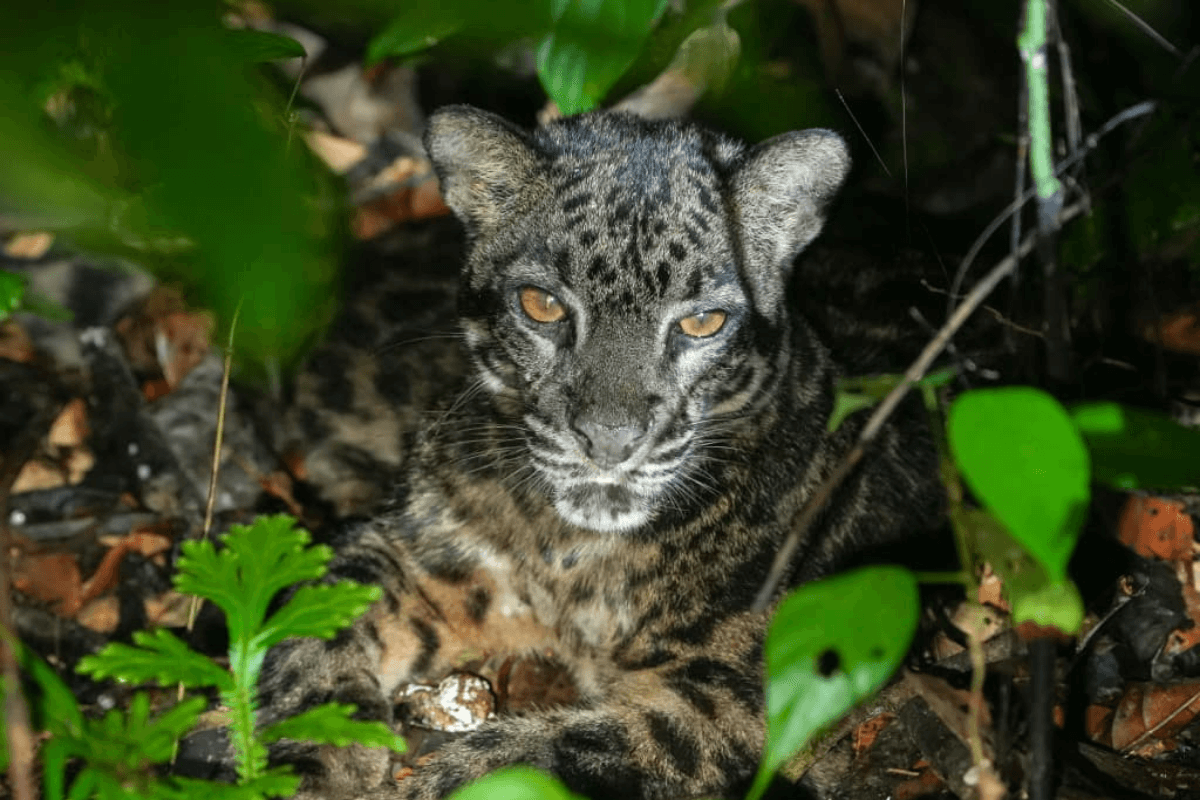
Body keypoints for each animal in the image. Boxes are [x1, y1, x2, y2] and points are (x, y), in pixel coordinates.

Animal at [255, 105, 945, 800]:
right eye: (542, 305)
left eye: (702, 323)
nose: (609, 440)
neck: (570, 560)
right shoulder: (416, 550)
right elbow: (313, 627)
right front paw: (305, 763)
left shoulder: (738, 691)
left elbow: (544, 754)